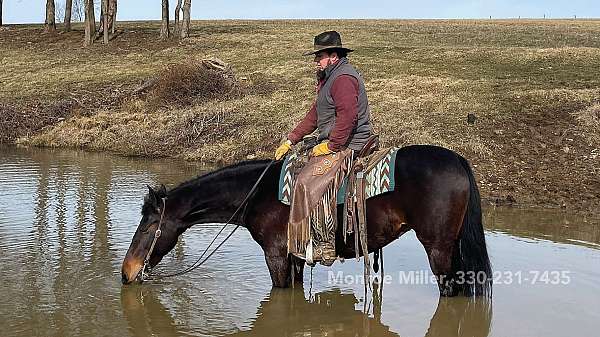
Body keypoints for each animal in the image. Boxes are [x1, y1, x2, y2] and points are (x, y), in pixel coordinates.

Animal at [122, 143, 492, 296]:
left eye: (149, 225)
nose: (126, 273)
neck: (257, 195)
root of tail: (458, 160)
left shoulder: (275, 256)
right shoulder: (296, 258)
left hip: (438, 247)